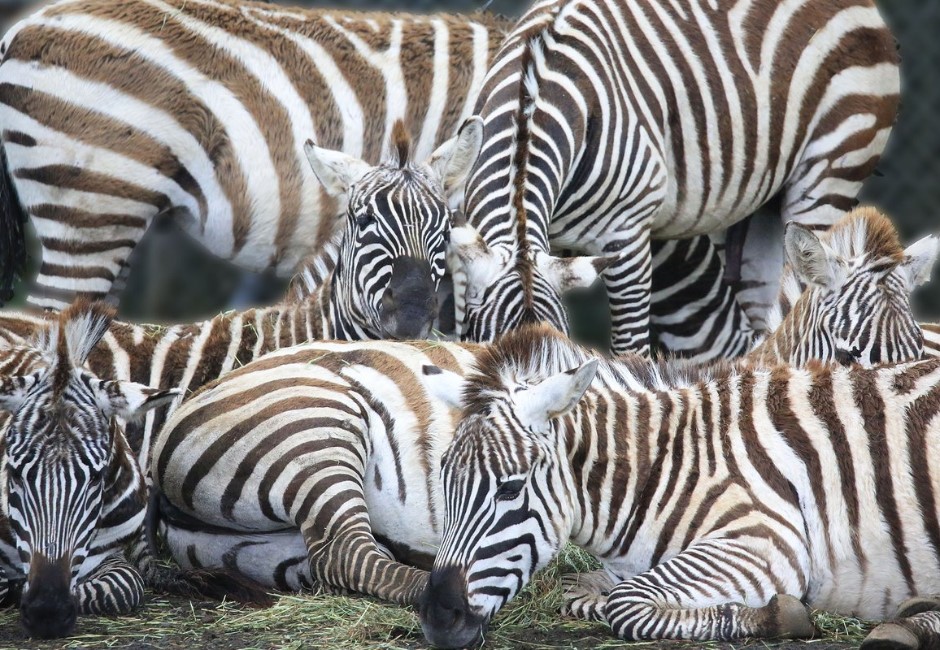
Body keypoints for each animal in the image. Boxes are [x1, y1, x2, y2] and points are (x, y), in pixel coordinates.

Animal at [418, 324, 940, 648]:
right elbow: (579, 592)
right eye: (443, 485)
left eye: (509, 490)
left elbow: (624, 606)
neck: (669, 461)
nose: (437, 618)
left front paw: (776, 615)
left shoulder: (764, 538)